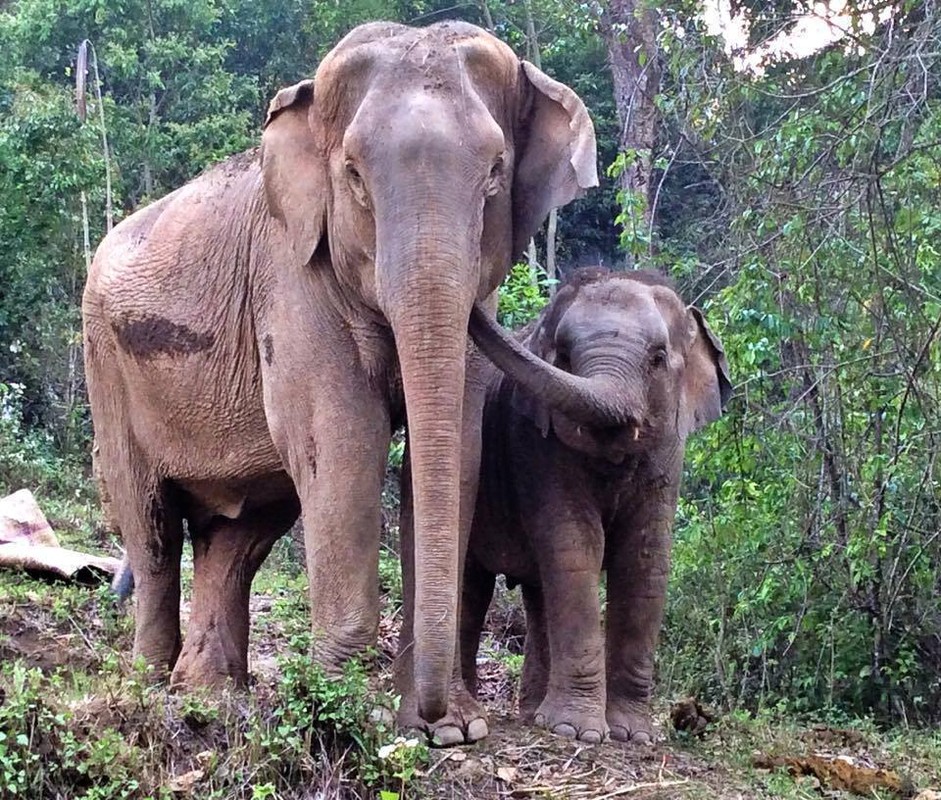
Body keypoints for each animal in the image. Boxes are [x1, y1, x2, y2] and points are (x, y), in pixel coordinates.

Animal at [86, 20, 604, 744]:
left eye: (495, 173)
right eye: (354, 174)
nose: (440, 716)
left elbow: (452, 450)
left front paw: (447, 729)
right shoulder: (291, 277)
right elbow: (344, 444)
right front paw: (343, 716)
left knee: (238, 536)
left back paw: (210, 697)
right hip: (107, 365)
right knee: (154, 526)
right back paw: (151, 689)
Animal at [458, 268, 732, 744]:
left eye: (658, 357)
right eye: (564, 355)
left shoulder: (668, 454)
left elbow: (644, 559)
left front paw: (632, 736)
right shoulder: (536, 446)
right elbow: (576, 547)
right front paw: (580, 733)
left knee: (537, 593)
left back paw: (533, 715)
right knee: (476, 585)